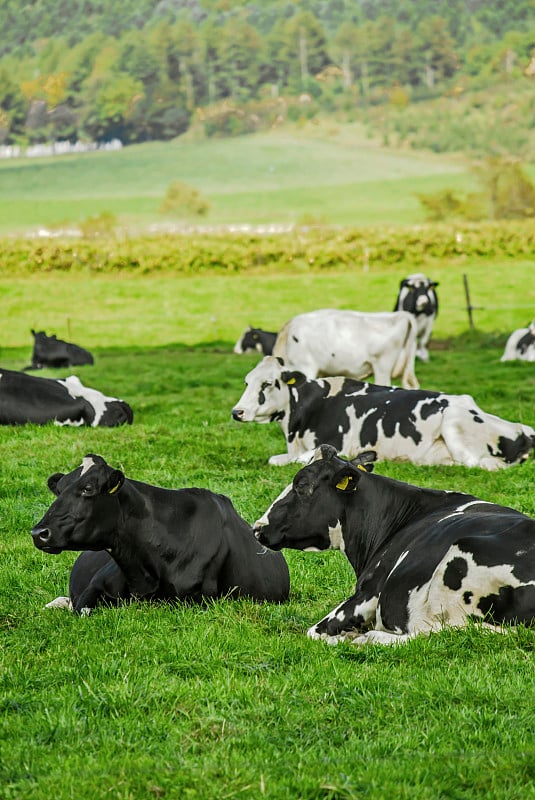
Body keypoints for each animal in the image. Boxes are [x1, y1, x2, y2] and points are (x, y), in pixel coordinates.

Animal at [230, 356, 535, 468]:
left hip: (454, 423)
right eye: (246, 381)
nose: (237, 411)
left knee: (478, 464)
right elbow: (275, 458)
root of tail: (522, 430)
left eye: (268, 383)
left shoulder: (337, 445)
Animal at [253, 446, 535, 648]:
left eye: (301, 485)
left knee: (435, 634)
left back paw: (368, 639)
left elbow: (313, 632)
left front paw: (348, 636)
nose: (258, 527)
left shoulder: (367, 594)